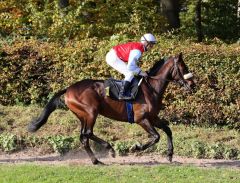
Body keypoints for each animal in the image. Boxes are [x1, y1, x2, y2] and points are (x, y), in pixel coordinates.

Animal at [27, 52, 195, 164]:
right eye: (183, 67)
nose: (193, 85)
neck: (151, 88)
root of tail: (68, 88)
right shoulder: (141, 119)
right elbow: (156, 136)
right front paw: (135, 148)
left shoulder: (153, 117)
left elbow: (167, 130)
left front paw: (170, 154)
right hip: (91, 112)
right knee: (87, 134)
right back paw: (106, 153)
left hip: (83, 116)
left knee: (84, 136)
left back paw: (100, 157)